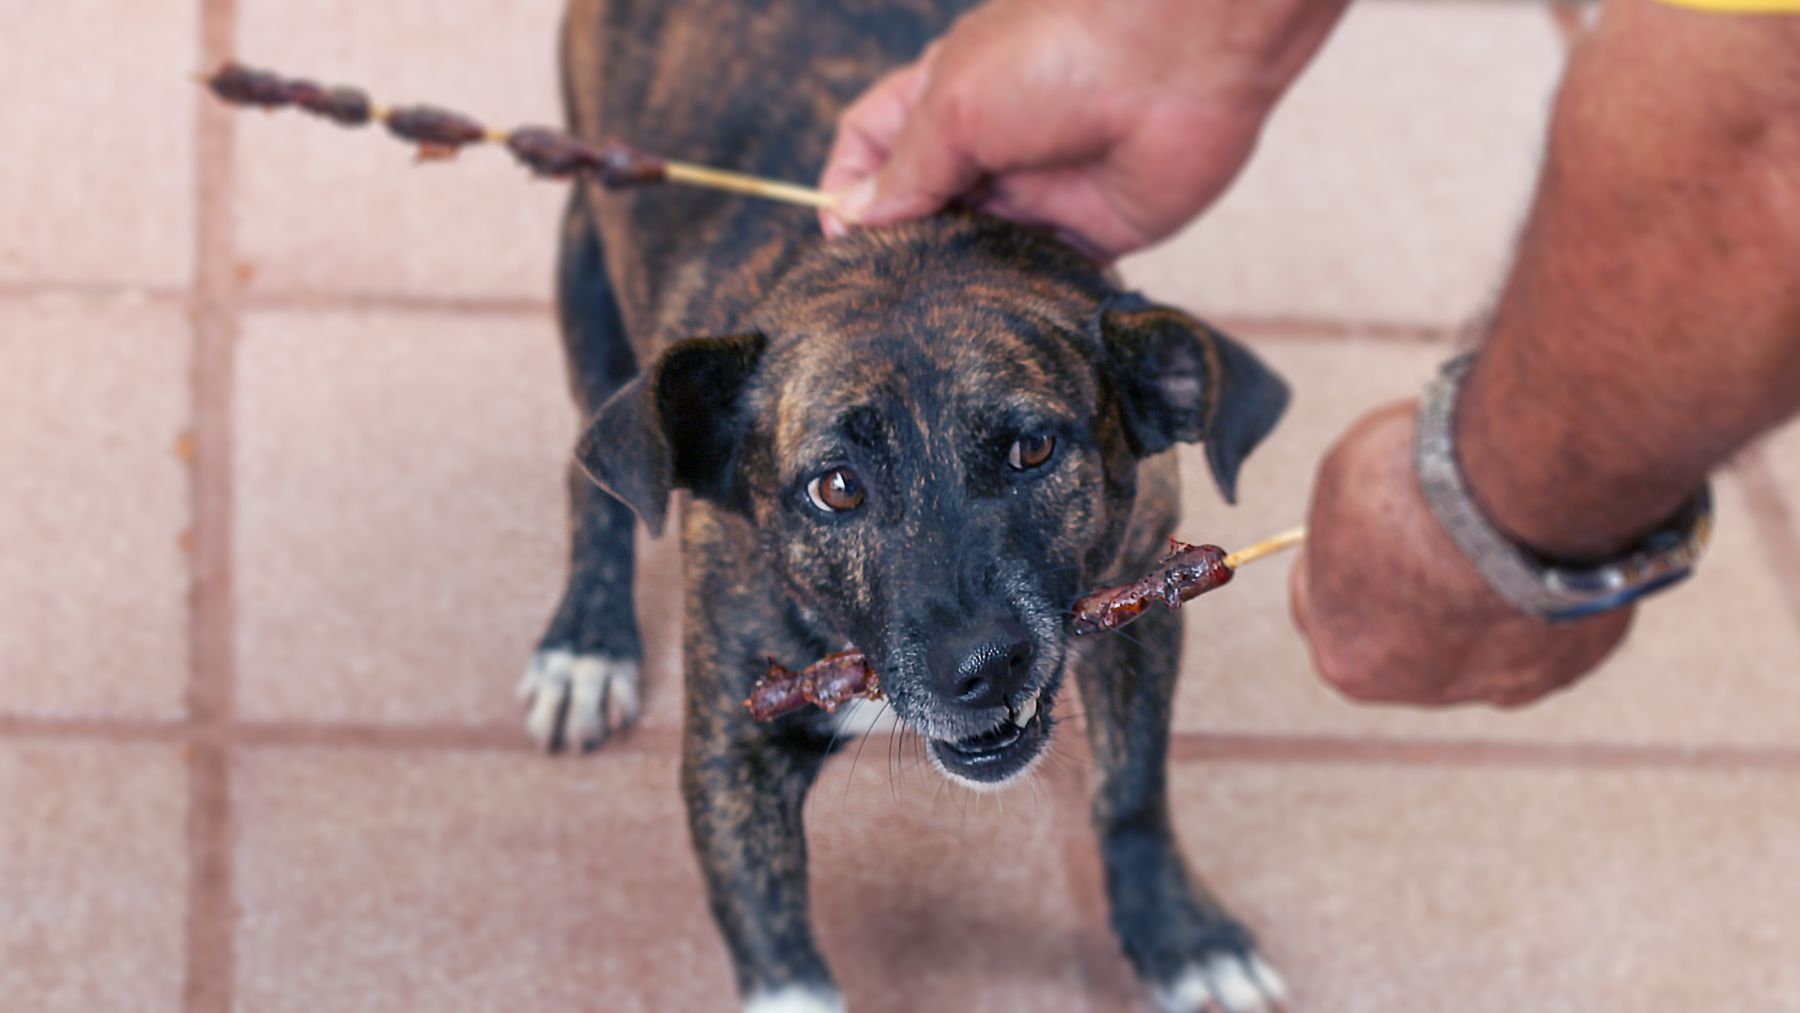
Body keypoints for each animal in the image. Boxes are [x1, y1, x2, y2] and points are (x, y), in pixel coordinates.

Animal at [514, 1, 1288, 1013]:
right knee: (589, 474)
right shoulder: (732, 744)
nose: (983, 669)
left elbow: (1133, 789)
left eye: (1033, 448)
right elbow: (780, 952)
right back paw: (586, 645)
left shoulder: (1144, 604)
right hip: (589, 263)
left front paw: (1182, 937)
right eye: (834, 486)